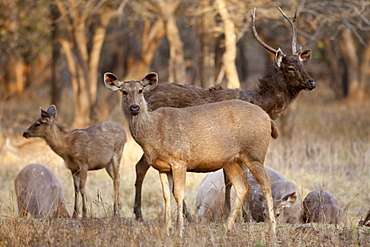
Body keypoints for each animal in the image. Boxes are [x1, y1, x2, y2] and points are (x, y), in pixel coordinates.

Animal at [103, 72, 278, 239]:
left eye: (140, 90)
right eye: (123, 91)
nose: (134, 108)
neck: (153, 133)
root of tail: (268, 118)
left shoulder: (180, 160)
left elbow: (178, 194)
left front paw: (179, 231)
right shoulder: (161, 167)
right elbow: (166, 196)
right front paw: (166, 230)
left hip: (254, 153)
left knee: (266, 184)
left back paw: (272, 230)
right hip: (232, 161)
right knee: (243, 187)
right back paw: (227, 229)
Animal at [132, 6, 316, 222]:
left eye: (303, 65)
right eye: (290, 67)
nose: (312, 83)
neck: (260, 103)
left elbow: (231, 180)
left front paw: (232, 214)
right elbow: (235, 180)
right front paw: (241, 216)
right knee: (142, 167)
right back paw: (141, 213)